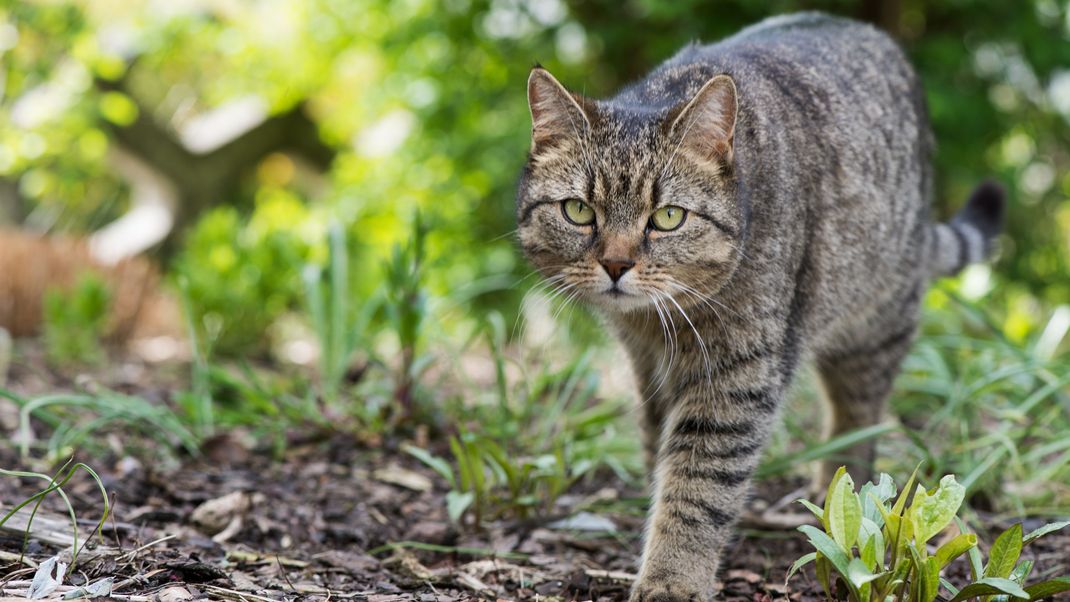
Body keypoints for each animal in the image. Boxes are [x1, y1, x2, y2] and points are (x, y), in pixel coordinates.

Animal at [515, 10, 1001, 602]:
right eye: (579, 211)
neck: (661, 322)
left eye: (668, 217)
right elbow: (661, 456)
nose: (615, 264)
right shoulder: (647, 365)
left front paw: (672, 577)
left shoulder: (736, 377)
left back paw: (842, 495)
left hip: (873, 322)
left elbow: (697, 486)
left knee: (857, 419)